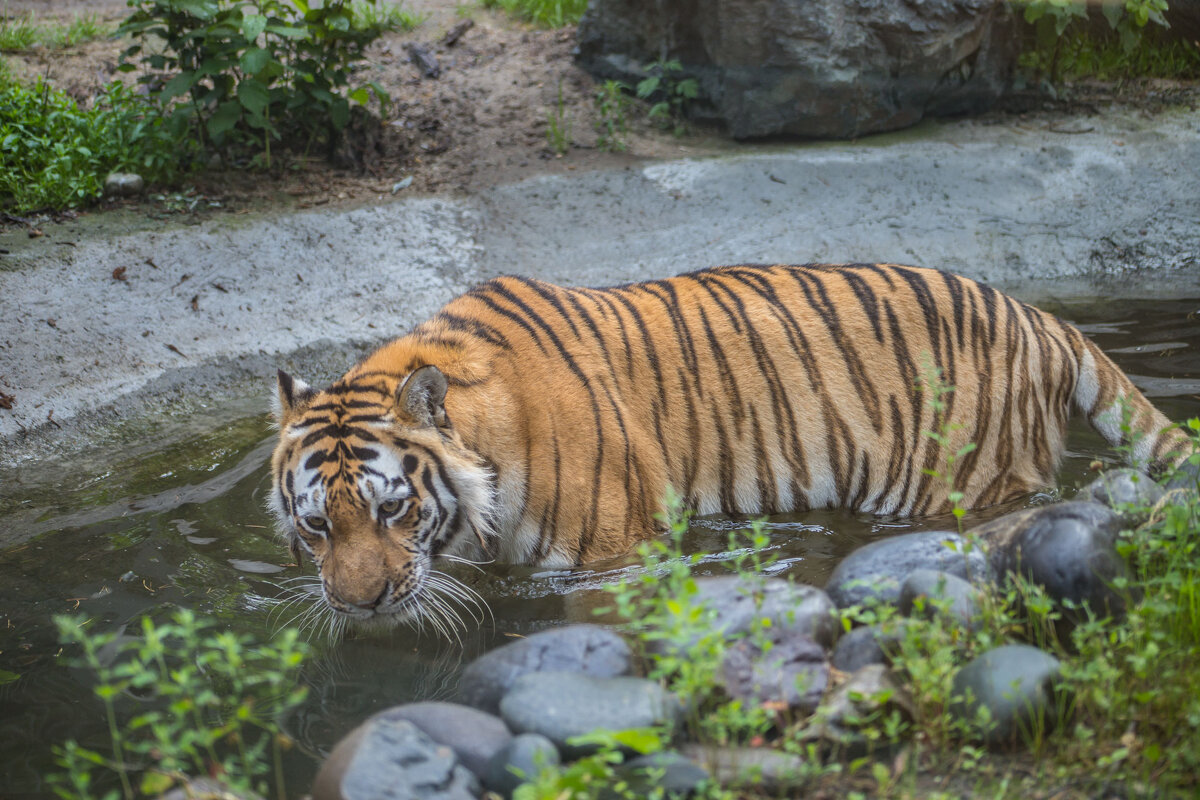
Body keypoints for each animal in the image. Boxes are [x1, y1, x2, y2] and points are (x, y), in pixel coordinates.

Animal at [272, 266, 1190, 628]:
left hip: (958, 481)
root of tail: (1039, 316)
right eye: (317, 526)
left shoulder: (611, 556)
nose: (359, 608)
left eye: (394, 510)